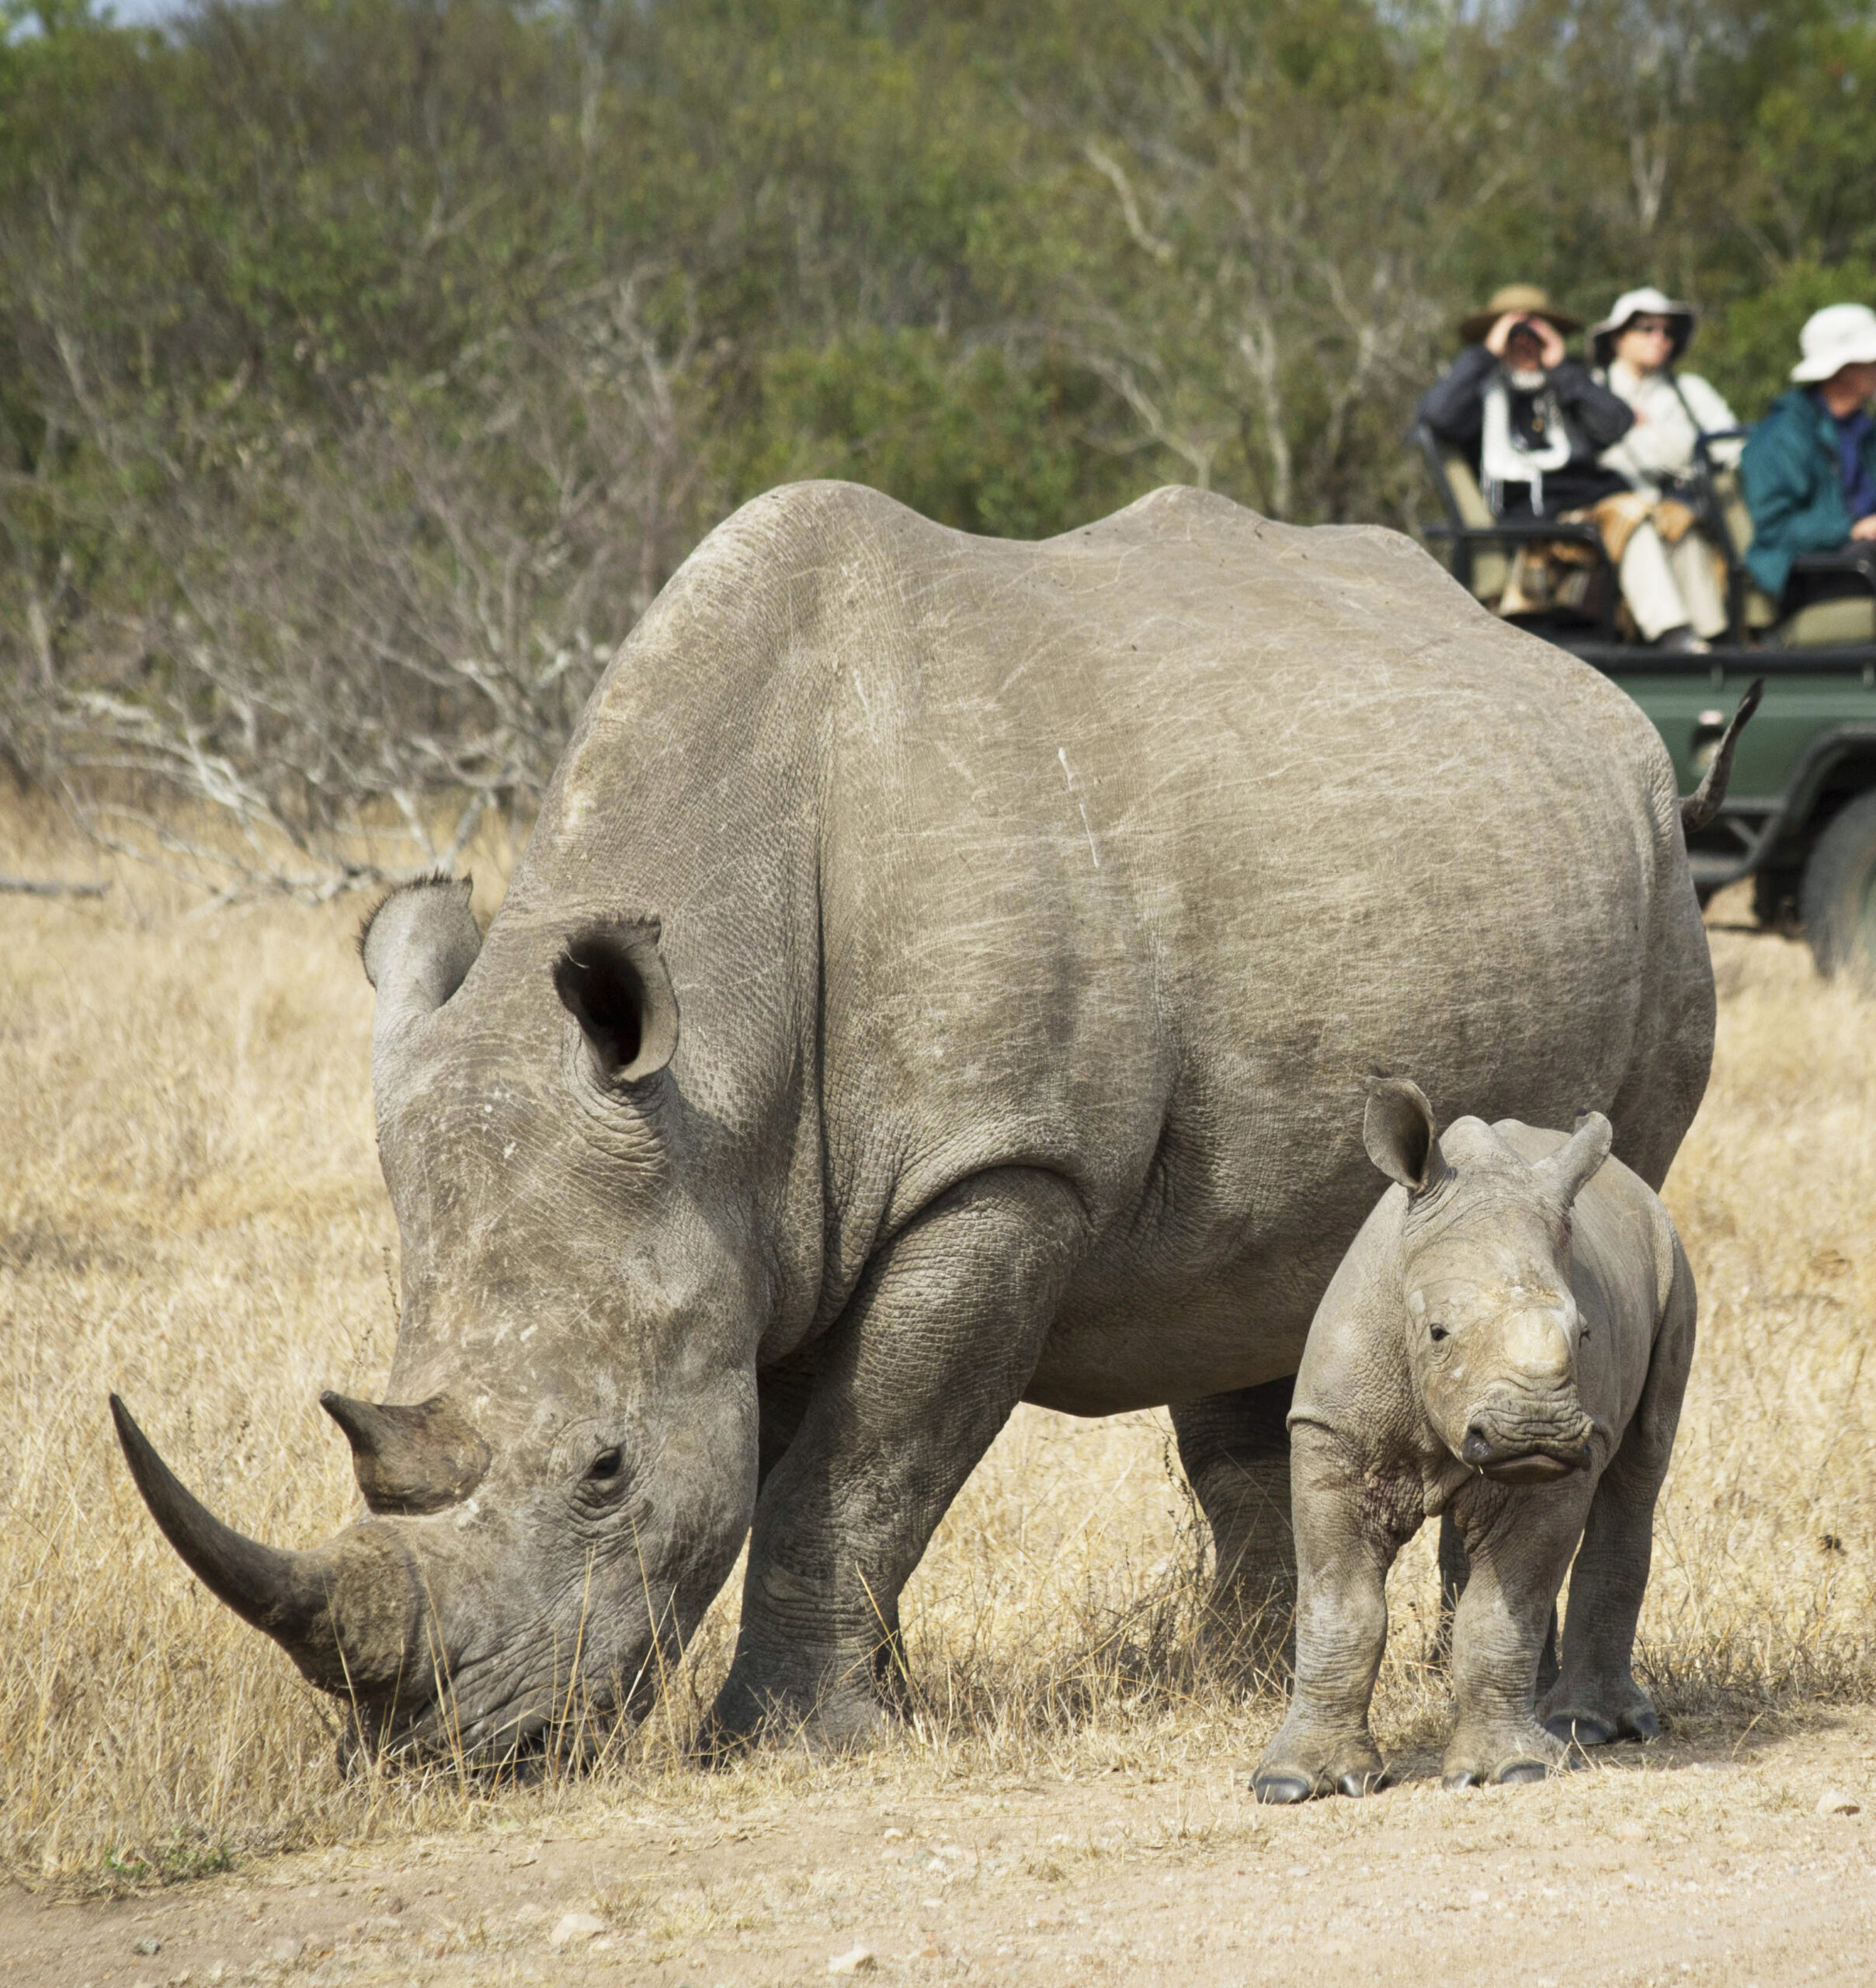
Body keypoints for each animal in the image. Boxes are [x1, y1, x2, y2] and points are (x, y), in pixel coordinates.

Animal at [1256, 1089, 1693, 1805]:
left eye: (1585, 1333)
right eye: (1437, 1333)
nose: (1536, 1429)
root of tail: (1637, 1187)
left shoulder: (1559, 1464)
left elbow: (1503, 1609)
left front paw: (1514, 1770)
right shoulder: (1333, 1433)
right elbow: (1337, 1602)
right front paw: (1299, 1783)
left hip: (1673, 1260)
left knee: (1639, 1469)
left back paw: (1585, 1727)